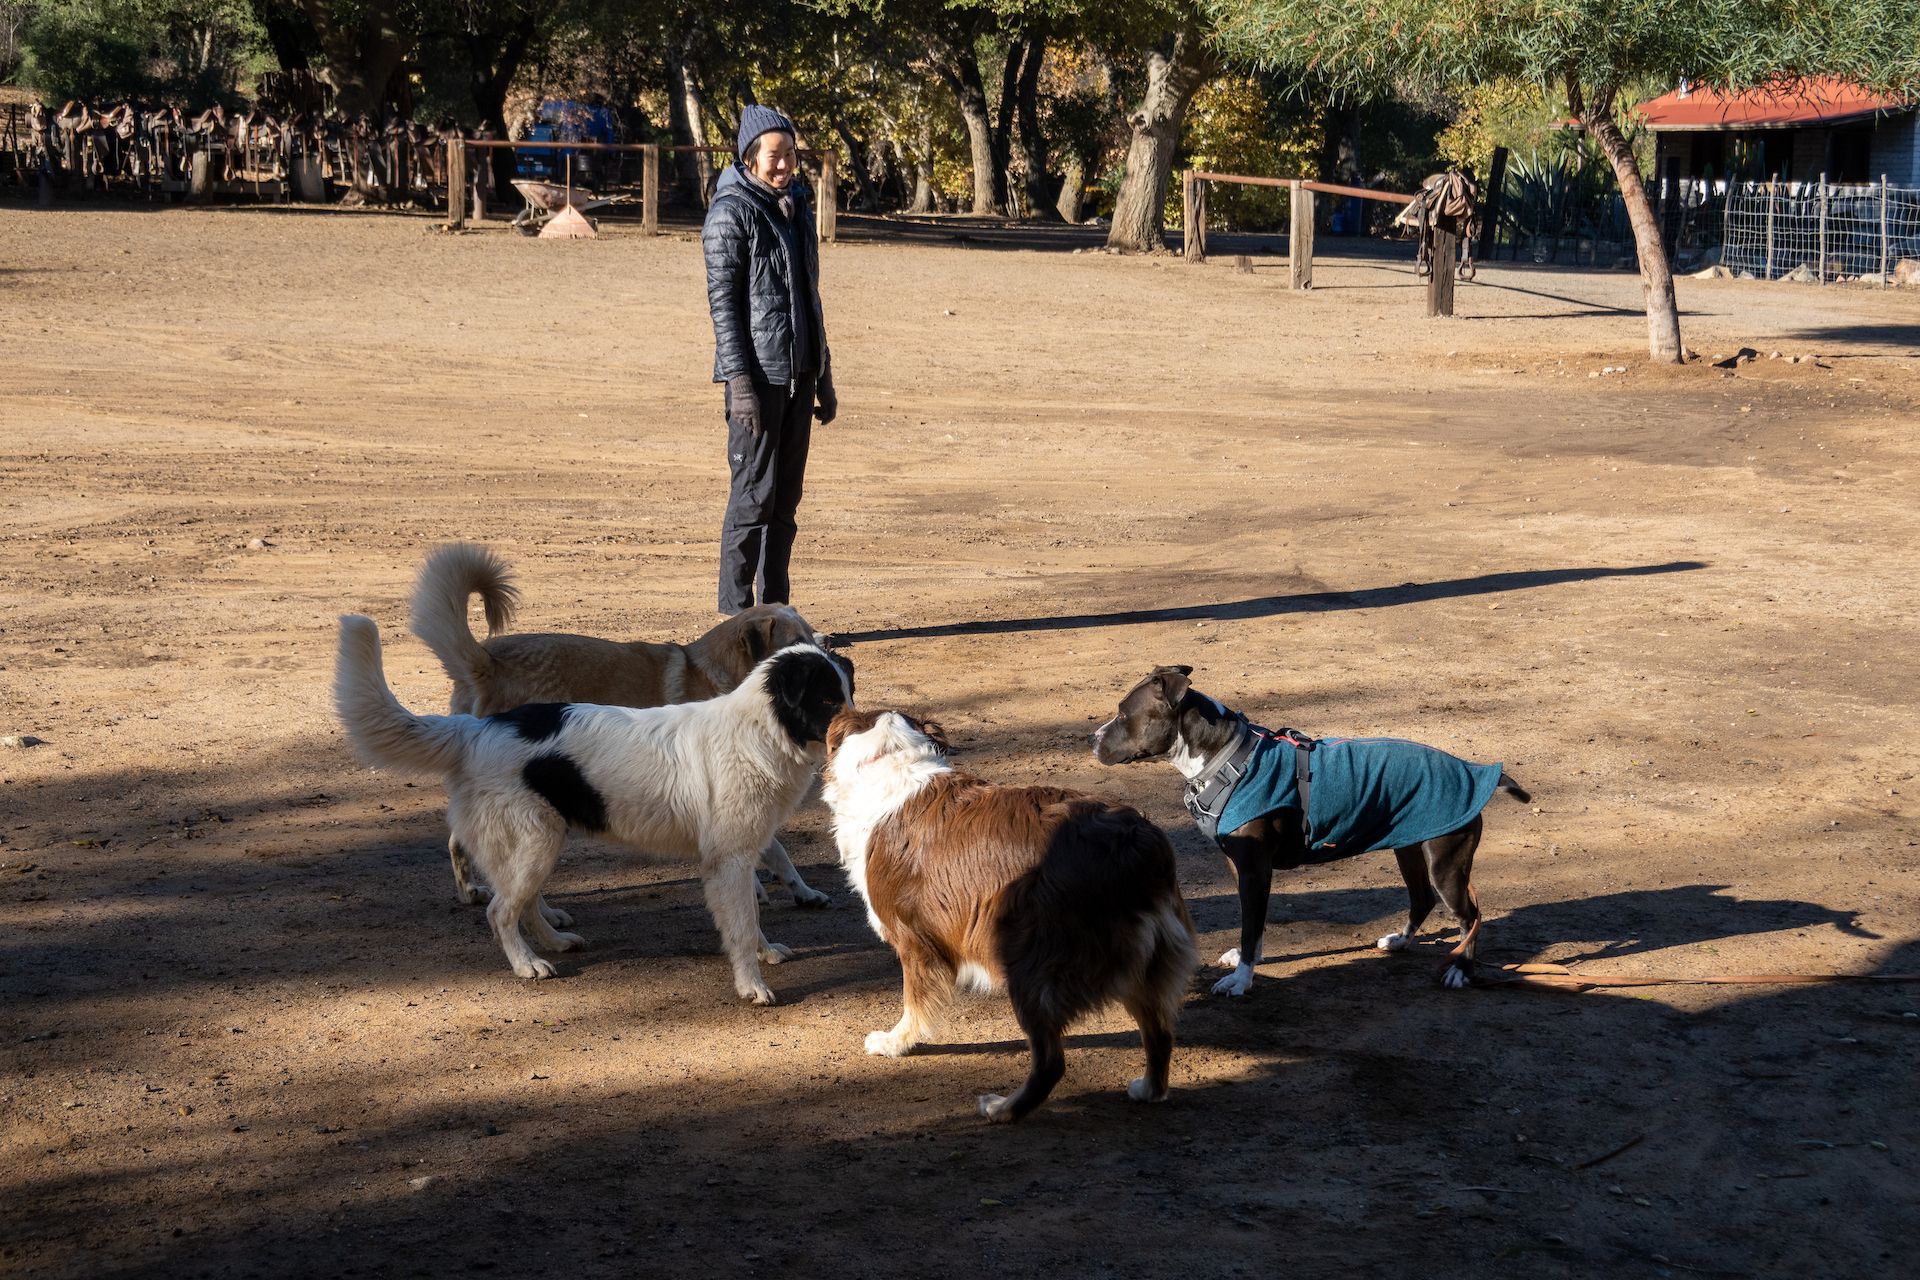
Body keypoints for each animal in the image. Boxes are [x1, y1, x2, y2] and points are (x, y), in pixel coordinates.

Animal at [334, 614, 852, 1005]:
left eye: (848, 692)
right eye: (826, 699)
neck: (762, 730)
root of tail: (478, 729)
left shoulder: (742, 854)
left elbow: (751, 916)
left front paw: (766, 952)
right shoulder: (729, 861)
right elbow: (742, 925)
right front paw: (752, 985)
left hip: (541, 841)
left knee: (523, 902)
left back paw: (555, 941)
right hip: (535, 841)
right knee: (501, 910)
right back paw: (528, 963)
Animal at [408, 545, 829, 917]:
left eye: (811, 633)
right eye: (795, 641)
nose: (829, 656)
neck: (726, 677)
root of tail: (487, 662)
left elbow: (778, 852)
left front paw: (804, 892)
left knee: (459, 842)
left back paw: (470, 891)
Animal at [825, 710, 1198, 1120]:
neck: (893, 759)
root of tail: (1136, 845)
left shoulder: (915, 941)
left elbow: (914, 1003)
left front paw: (895, 1043)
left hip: (1029, 960)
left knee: (1051, 1061)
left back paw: (1002, 1108)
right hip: (1142, 965)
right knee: (1159, 1032)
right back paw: (1148, 1090)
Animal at [1098, 671, 1528, 997]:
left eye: (1122, 714)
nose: (1092, 738)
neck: (1227, 758)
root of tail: (1477, 770)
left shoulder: (1255, 870)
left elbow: (1251, 925)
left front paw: (1242, 979)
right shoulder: (1242, 867)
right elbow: (1252, 922)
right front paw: (1246, 961)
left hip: (1446, 862)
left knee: (1469, 915)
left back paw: (1460, 970)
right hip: (1409, 846)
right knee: (1422, 898)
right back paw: (1401, 941)